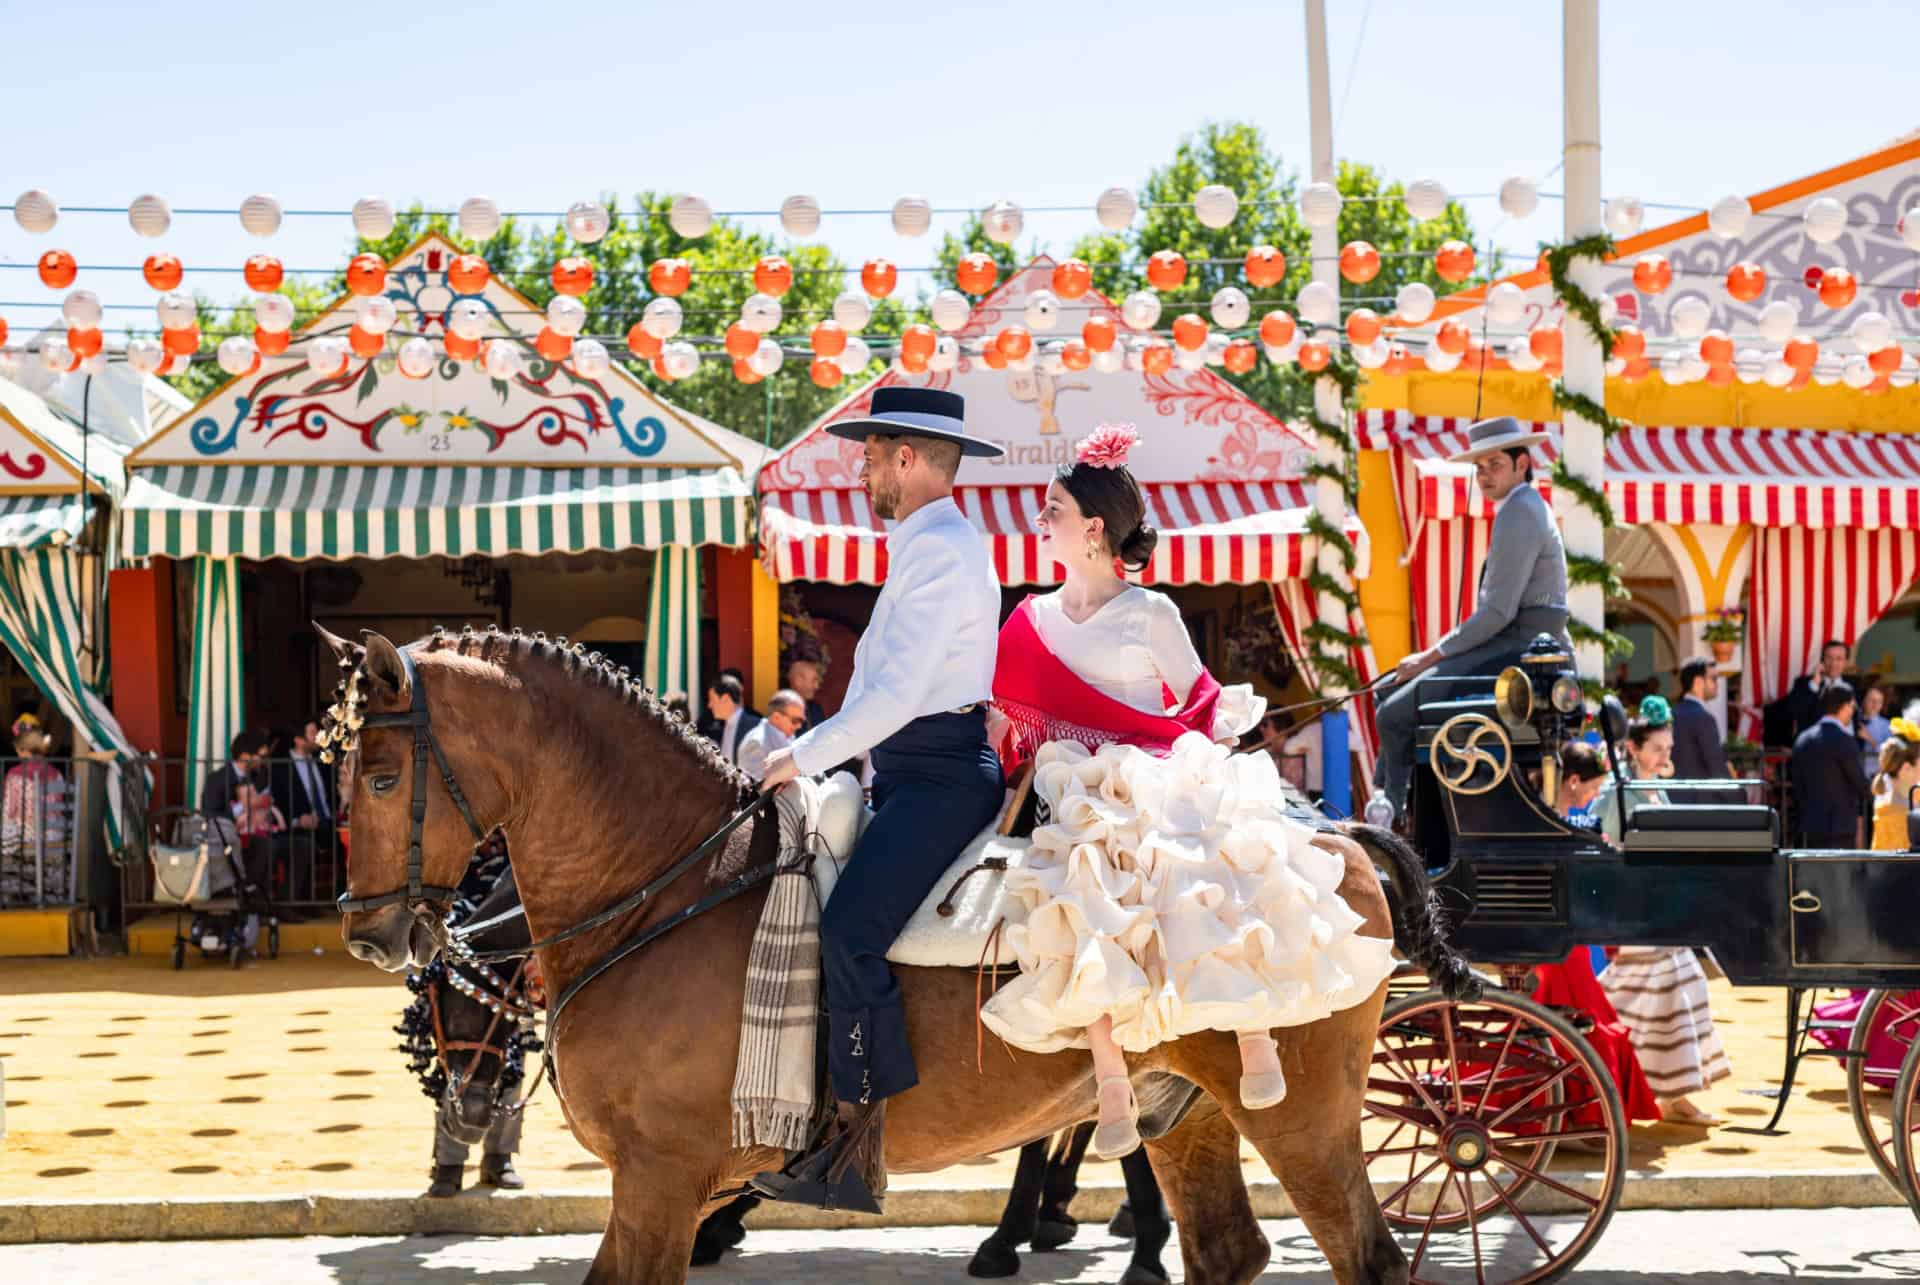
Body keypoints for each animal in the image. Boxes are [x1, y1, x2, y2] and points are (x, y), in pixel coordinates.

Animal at [326, 626, 1466, 1275]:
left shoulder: (658, 1179)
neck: (668, 886)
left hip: (1305, 1117)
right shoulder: (666, 1186)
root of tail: (1331, 829)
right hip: (1182, 1109)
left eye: (379, 776)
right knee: (1227, 1250)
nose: (369, 930)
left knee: (1368, 1257)